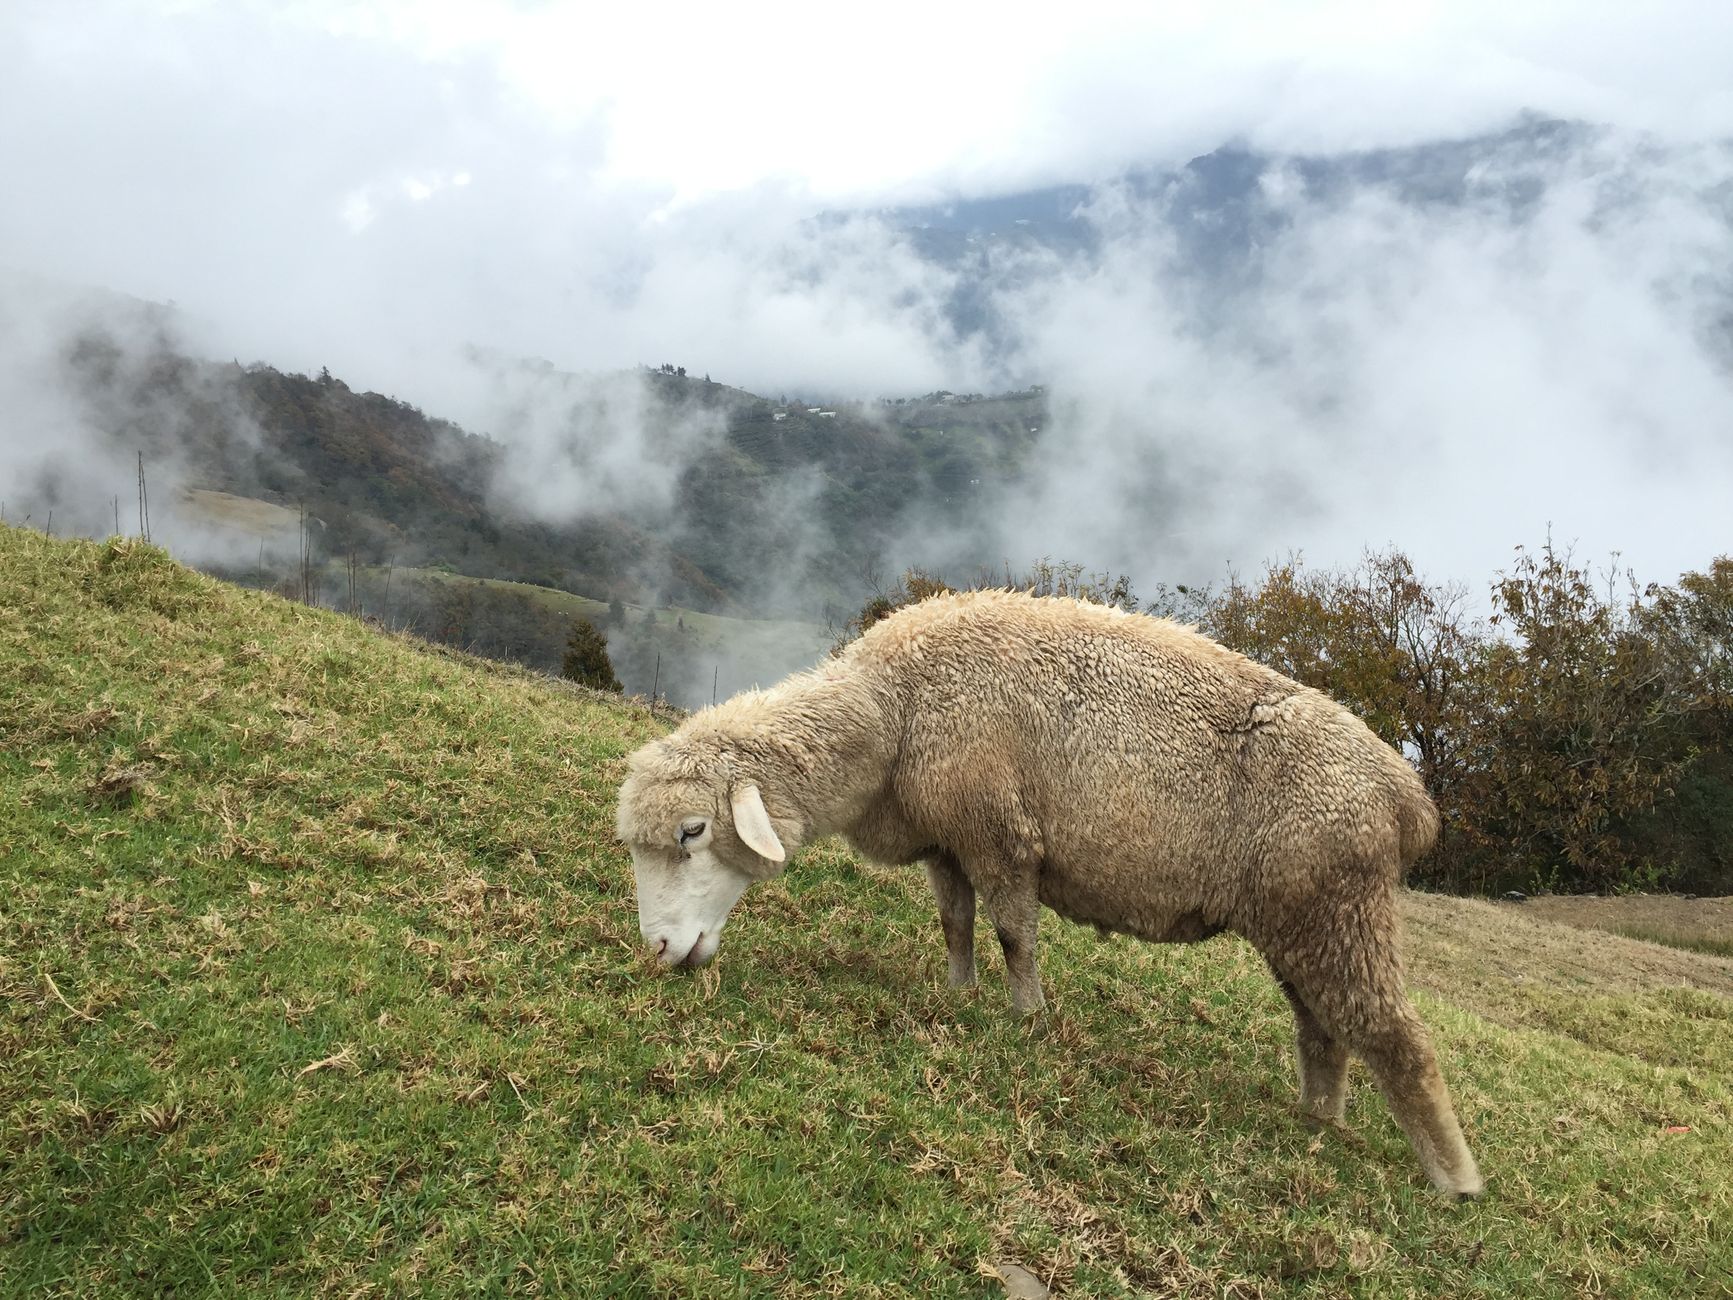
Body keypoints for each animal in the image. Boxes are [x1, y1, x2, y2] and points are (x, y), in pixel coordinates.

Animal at [615, 588, 1483, 1197]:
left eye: (692, 832)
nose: (659, 949)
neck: (894, 711)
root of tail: (1405, 796)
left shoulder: (1000, 835)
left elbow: (1013, 934)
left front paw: (1026, 1018)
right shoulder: (949, 843)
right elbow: (955, 924)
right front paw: (959, 993)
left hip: (1338, 908)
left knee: (1397, 1038)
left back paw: (1455, 1181)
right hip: (1303, 918)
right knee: (1324, 1031)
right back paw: (1317, 1122)